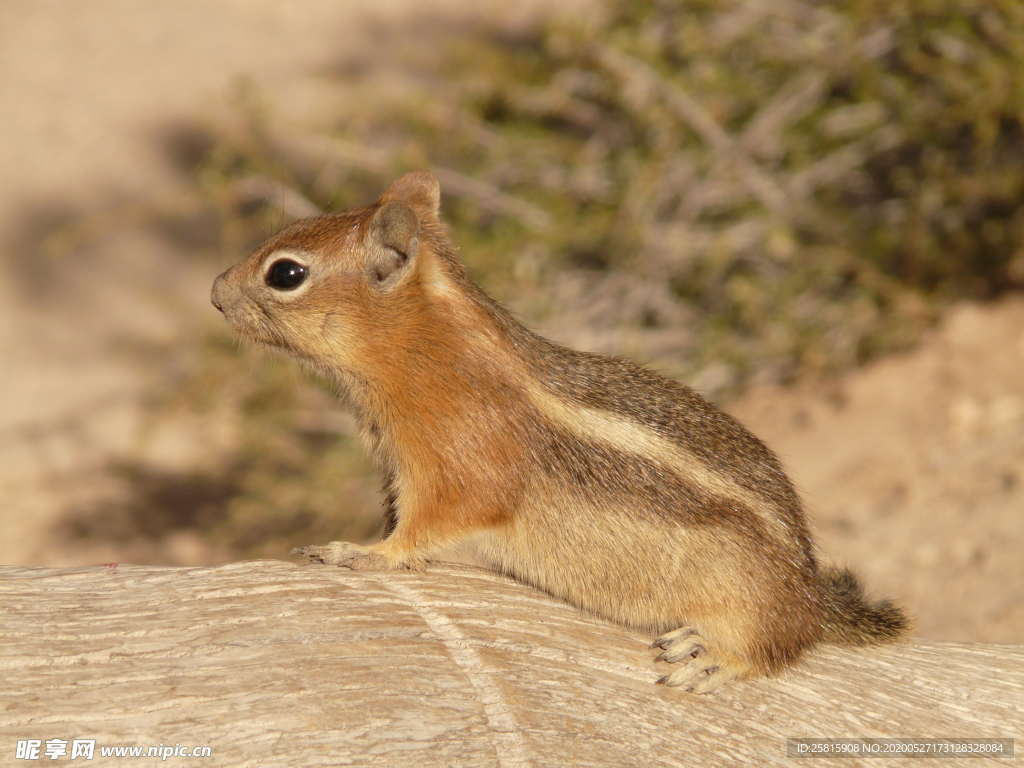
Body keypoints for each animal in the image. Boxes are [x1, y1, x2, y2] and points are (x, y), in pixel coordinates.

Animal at [211, 171, 909, 696]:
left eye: (285, 274)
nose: (215, 292)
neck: (428, 353)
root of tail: (810, 592)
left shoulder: (458, 468)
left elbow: (425, 528)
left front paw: (358, 552)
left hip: (749, 598)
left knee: (781, 645)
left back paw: (714, 656)